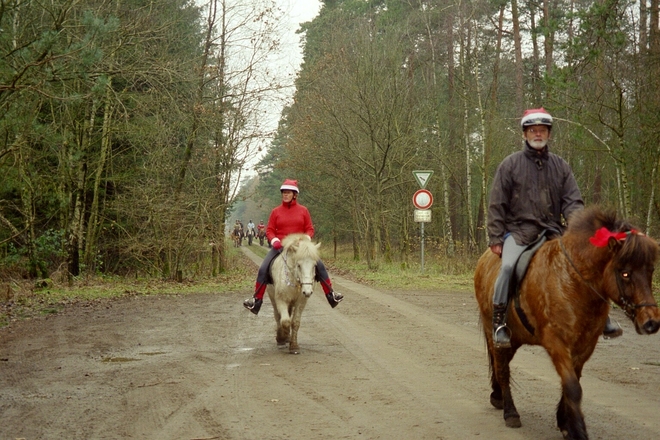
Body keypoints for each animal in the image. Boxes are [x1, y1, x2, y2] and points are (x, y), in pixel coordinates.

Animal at [474, 207, 660, 440]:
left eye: (650, 271)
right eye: (625, 273)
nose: (651, 322)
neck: (574, 282)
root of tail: (484, 260)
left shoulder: (585, 345)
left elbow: (572, 382)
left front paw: (564, 422)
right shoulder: (557, 343)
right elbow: (572, 386)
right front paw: (577, 430)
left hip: (515, 338)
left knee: (503, 365)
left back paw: (497, 397)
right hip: (497, 335)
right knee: (502, 369)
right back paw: (510, 412)